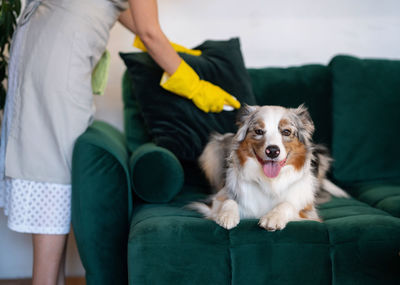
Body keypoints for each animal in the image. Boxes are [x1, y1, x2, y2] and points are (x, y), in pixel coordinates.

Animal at [189, 103, 348, 230]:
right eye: (259, 131)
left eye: (286, 132)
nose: (272, 151)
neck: (270, 182)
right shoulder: (218, 199)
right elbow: (228, 201)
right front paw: (227, 216)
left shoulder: (309, 212)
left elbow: (287, 204)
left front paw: (273, 217)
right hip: (213, 146)